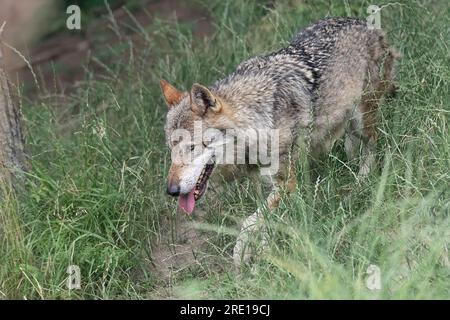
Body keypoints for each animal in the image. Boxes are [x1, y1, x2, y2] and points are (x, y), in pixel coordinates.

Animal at [160, 16, 400, 268]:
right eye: (171, 150)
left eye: (192, 147)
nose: (171, 191)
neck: (257, 119)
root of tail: (367, 23)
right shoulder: (269, 183)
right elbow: (265, 222)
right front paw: (263, 254)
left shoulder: (286, 183)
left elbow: (249, 223)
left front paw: (242, 256)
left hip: (363, 118)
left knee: (373, 147)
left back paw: (361, 184)